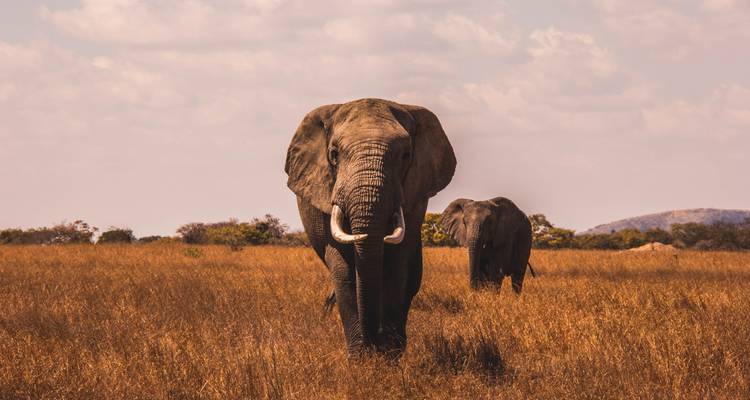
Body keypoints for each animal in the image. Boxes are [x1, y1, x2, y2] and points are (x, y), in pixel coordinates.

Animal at [284, 98, 456, 356]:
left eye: (406, 155)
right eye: (334, 154)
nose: (375, 341)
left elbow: (397, 265)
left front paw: (389, 355)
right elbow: (344, 268)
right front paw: (361, 357)